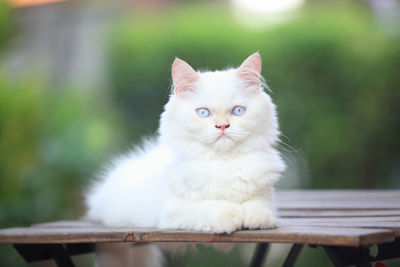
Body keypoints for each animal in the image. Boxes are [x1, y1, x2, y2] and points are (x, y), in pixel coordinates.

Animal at [85, 52, 284, 237]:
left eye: (238, 111)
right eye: (203, 113)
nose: (222, 126)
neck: (223, 163)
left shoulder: (265, 196)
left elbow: (259, 206)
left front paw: (255, 218)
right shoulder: (173, 210)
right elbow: (211, 206)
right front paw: (232, 215)